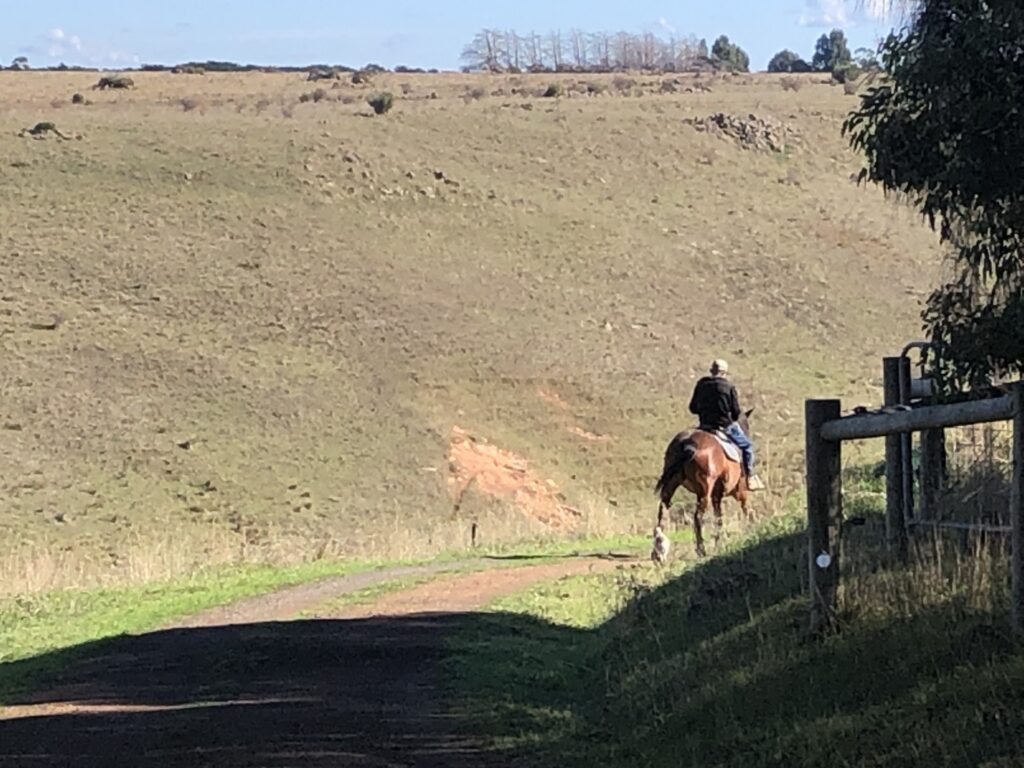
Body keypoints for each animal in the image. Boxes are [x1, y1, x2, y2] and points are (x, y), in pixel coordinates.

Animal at [651, 409, 757, 561]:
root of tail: (687, 443)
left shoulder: (716, 494)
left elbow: (719, 517)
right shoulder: (739, 491)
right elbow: (745, 509)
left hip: (673, 483)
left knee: (663, 509)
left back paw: (659, 550)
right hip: (704, 490)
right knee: (698, 517)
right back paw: (701, 550)